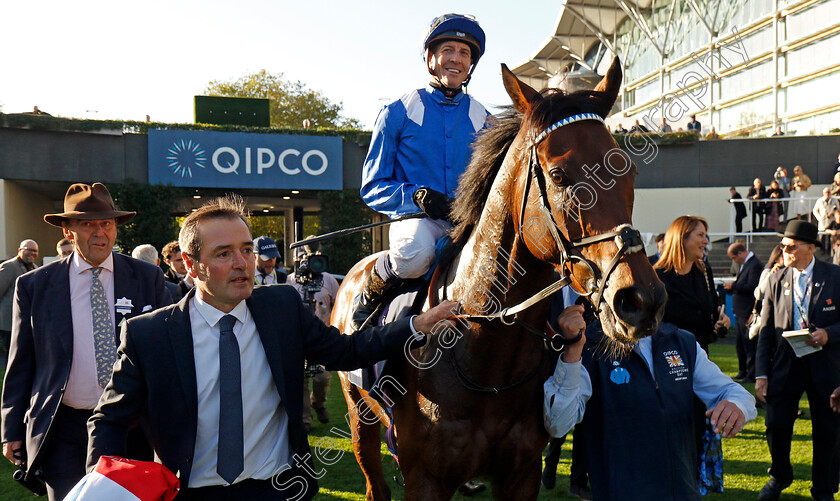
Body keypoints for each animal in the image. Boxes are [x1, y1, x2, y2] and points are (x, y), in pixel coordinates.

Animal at [332, 56, 668, 498]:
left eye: (627, 170)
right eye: (559, 175)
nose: (640, 300)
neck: (485, 349)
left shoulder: (521, 473)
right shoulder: (425, 476)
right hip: (360, 420)